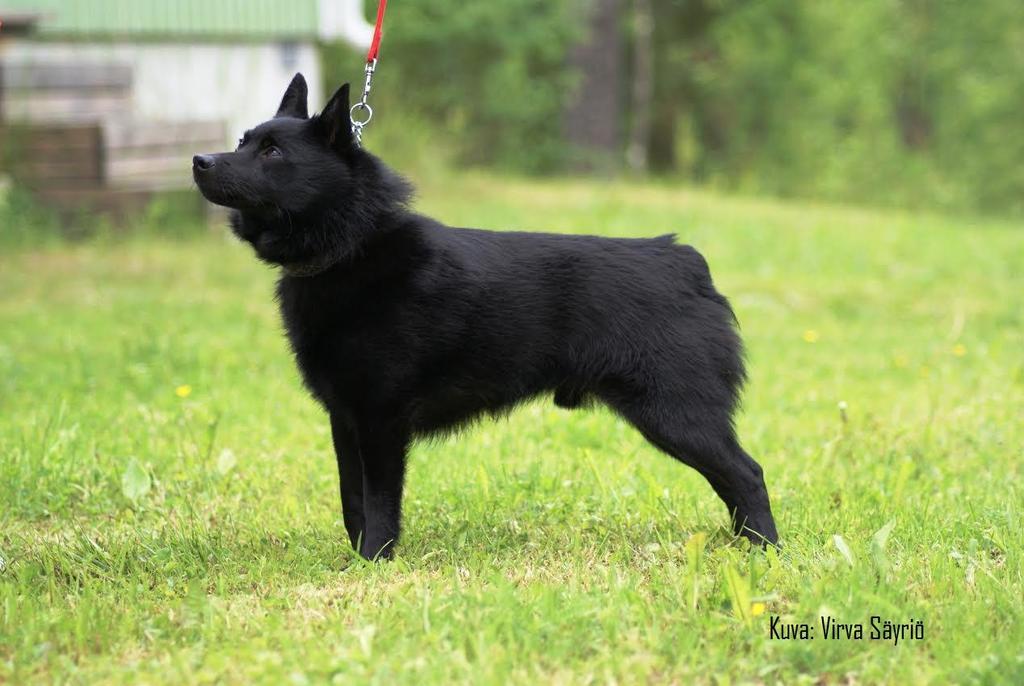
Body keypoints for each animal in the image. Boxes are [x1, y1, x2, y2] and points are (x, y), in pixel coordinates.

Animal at [192, 73, 778, 556]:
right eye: (243, 141)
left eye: (272, 151)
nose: (200, 161)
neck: (352, 248)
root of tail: (684, 261)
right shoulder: (346, 418)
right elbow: (351, 501)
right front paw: (356, 559)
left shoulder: (381, 420)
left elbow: (379, 504)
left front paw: (376, 562)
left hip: (676, 413)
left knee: (747, 474)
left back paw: (764, 551)